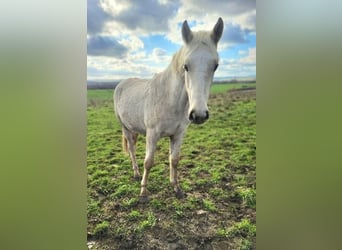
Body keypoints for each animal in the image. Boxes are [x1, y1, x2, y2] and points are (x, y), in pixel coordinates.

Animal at [113, 17, 223, 202]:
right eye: (186, 66)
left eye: (215, 66)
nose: (199, 115)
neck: (170, 101)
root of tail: (122, 83)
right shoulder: (152, 135)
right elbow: (148, 162)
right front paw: (143, 193)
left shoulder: (178, 134)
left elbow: (174, 160)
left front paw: (176, 188)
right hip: (125, 127)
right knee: (132, 150)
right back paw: (136, 173)